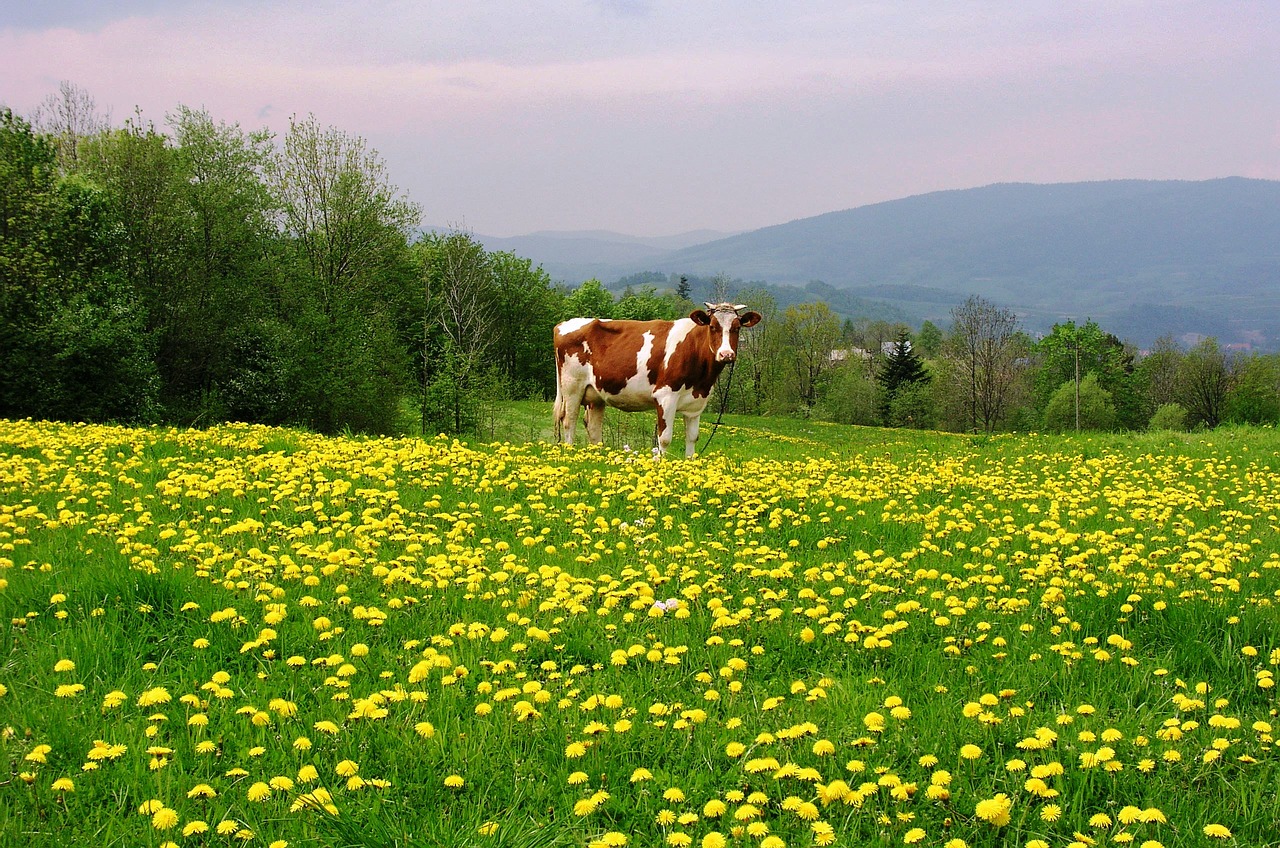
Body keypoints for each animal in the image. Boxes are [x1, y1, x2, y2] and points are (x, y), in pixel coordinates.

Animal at [552, 301, 757, 456]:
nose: (726, 354)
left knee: (593, 428)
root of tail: (563, 324)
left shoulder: (696, 404)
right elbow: (664, 438)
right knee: (569, 420)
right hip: (572, 388)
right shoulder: (665, 396)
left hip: (595, 395)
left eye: (737, 328)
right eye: (713, 327)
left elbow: (692, 438)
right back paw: (571, 453)